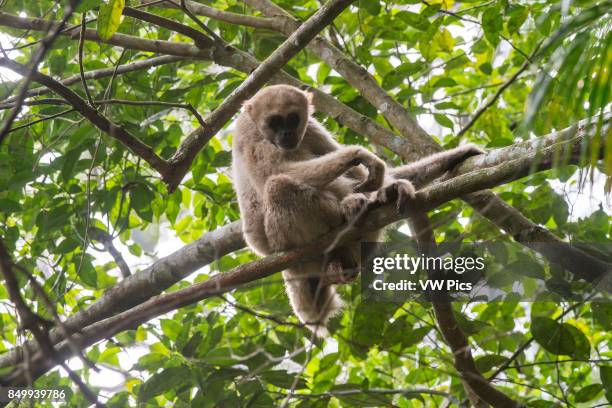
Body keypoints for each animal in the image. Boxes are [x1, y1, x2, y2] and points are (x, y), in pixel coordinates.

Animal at [232, 84, 486, 336]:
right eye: (274, 122)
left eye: (293, 119)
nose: (286, 134)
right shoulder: (247, 131)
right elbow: (273, 172)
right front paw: (358, 154)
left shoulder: (310, 128)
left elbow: (364, 173)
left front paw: (455, 156)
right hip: (283, 239)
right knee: (278, 185)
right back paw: (351, 214)